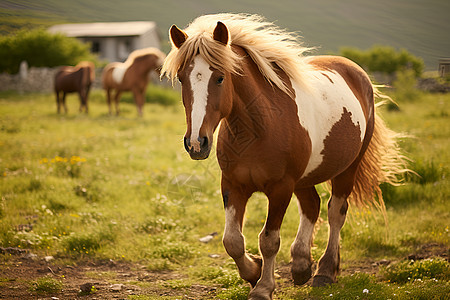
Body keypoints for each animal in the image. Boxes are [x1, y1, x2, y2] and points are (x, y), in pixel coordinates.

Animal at [163, 14, 408, 300]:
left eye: (220, 78)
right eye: (182, 79)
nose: (196, 143)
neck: (258, 129)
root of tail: (356, 72)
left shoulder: (281, 188)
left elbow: (269, 240)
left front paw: (263, 288)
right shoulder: (233, 185)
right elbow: (232, 241)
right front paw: (254, 272)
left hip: (346, 170)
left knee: (335, 212)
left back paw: (325, 271)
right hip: (303, 179)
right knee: (312, 206)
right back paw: (301, 265)